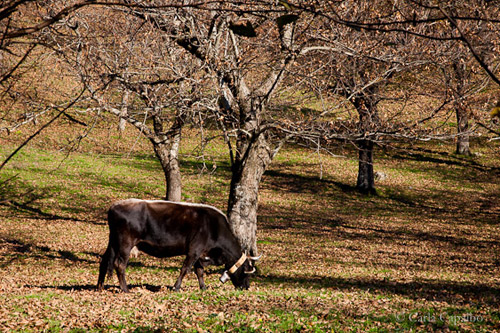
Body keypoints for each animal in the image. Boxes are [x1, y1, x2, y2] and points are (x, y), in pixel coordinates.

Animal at [98, 198, 262, 292]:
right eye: (246, 271)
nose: (246, 287)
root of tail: (115, 205)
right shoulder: (194, 250)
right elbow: (185, 269)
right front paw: (176, 287)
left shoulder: (200, 253)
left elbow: (199, 271)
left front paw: (203, 288)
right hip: (125, 244)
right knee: (120, 264)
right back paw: (125, 289)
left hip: (113, 242)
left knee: (105, 260)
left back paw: (100, 287)